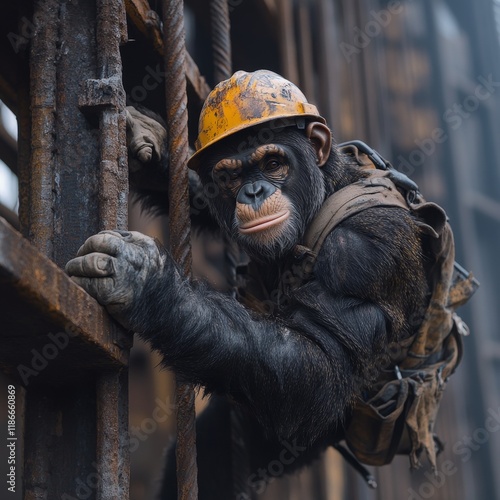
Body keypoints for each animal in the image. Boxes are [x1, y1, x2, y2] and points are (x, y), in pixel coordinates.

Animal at [66, 71, 432, 500]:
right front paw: (146, 140)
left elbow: (319, 363)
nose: (254, 191)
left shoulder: (364, 254)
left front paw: (146, 282)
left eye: (273, 163)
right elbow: (204, 204)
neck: (328, 187)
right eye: (231, 176)